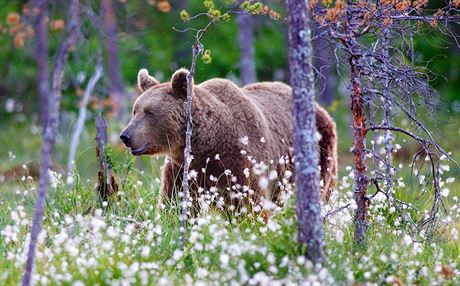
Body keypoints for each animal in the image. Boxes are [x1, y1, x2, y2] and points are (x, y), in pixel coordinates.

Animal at [120, 68, 338, 209]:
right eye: (135, 111)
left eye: (149, 112)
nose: (125, 136)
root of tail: (321, 108)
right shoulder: (181, 169)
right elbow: (175, 201)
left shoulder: (238, 159)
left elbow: (247, 203)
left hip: (321, 153)